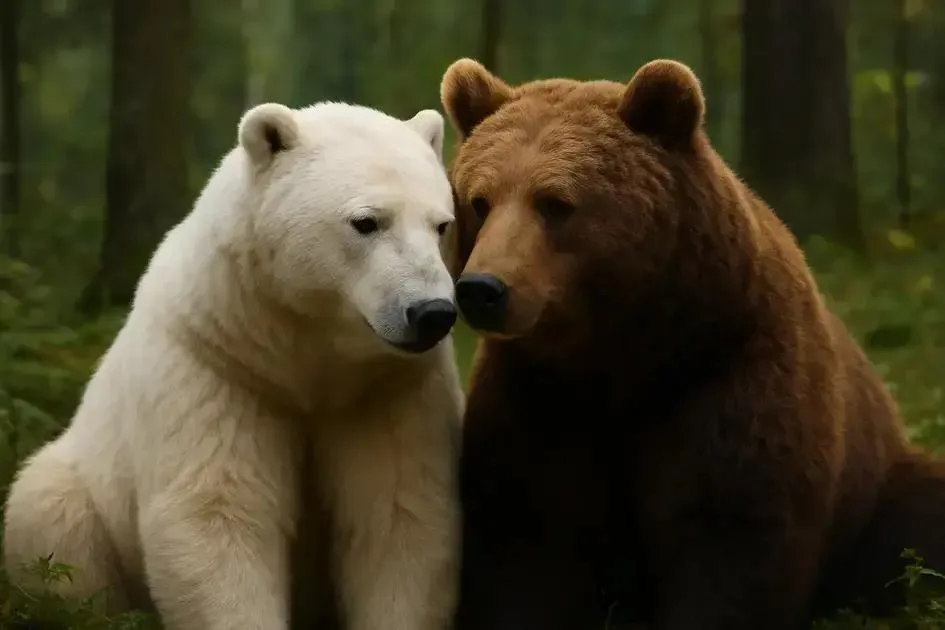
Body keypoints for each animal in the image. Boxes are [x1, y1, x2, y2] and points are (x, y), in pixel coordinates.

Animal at [3, 101, 464, 630]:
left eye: (441, 224)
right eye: (367, 222)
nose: (431, 312)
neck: (304, 355)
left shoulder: (388, 388)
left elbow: (399, 515)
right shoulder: (218, 363)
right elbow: (220, 513)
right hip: (83, 491)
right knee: (50, 519)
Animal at [438, 57, 945, 630]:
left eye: (555, 203)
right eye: (479, 200)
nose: (483, 289)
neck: (623, 354)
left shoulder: (726, 371)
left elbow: (729, 533)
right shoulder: (539, 395)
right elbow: (526, 533)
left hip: (881, 487)